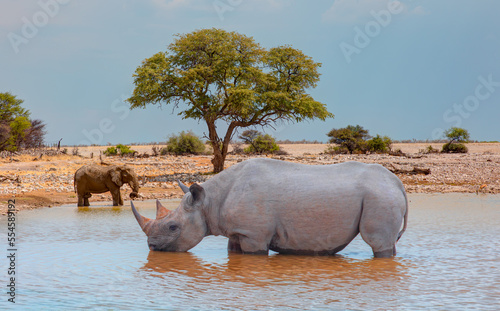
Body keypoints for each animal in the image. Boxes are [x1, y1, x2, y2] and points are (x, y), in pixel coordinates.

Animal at [131, 158, 408, 258]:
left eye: (172, 227)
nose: (151, 247)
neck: (208, 201)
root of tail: (398, 183)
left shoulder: (254, 234)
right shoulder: (238, 231)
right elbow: (233, 251)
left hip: (379, 197)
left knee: (377, 241)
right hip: (383, 195)